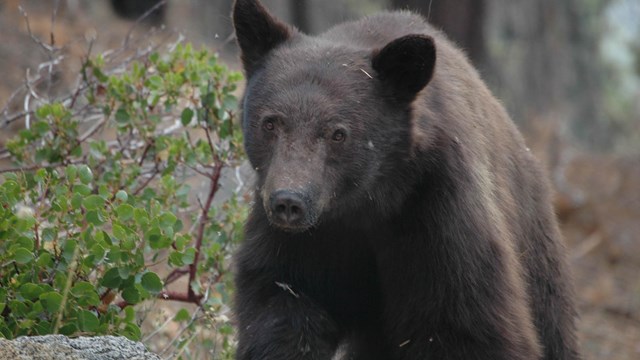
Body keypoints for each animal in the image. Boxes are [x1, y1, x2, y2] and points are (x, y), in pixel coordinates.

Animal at [231, 1, 580, 358]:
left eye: (338, 133)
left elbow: (465, 326)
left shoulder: (438, 214)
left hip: (535, 257)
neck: (368, 204)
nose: (289, 202)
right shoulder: (303, 244)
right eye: (271, 123)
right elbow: (284, 308)